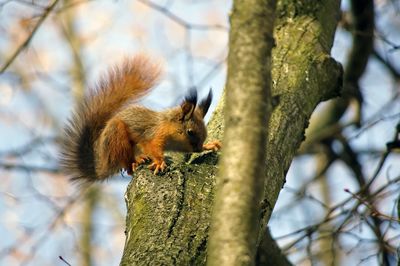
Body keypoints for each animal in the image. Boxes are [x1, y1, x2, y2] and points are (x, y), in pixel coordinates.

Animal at [61, 54, 220, 182]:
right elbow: (151, 146)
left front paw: (209, 145)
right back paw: (135, 161)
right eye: (190, 132)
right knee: (126, 165)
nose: (198, 148)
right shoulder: (154, 135)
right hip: (116, 137)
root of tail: (105, 165)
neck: (168, 126)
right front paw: (160, 162)